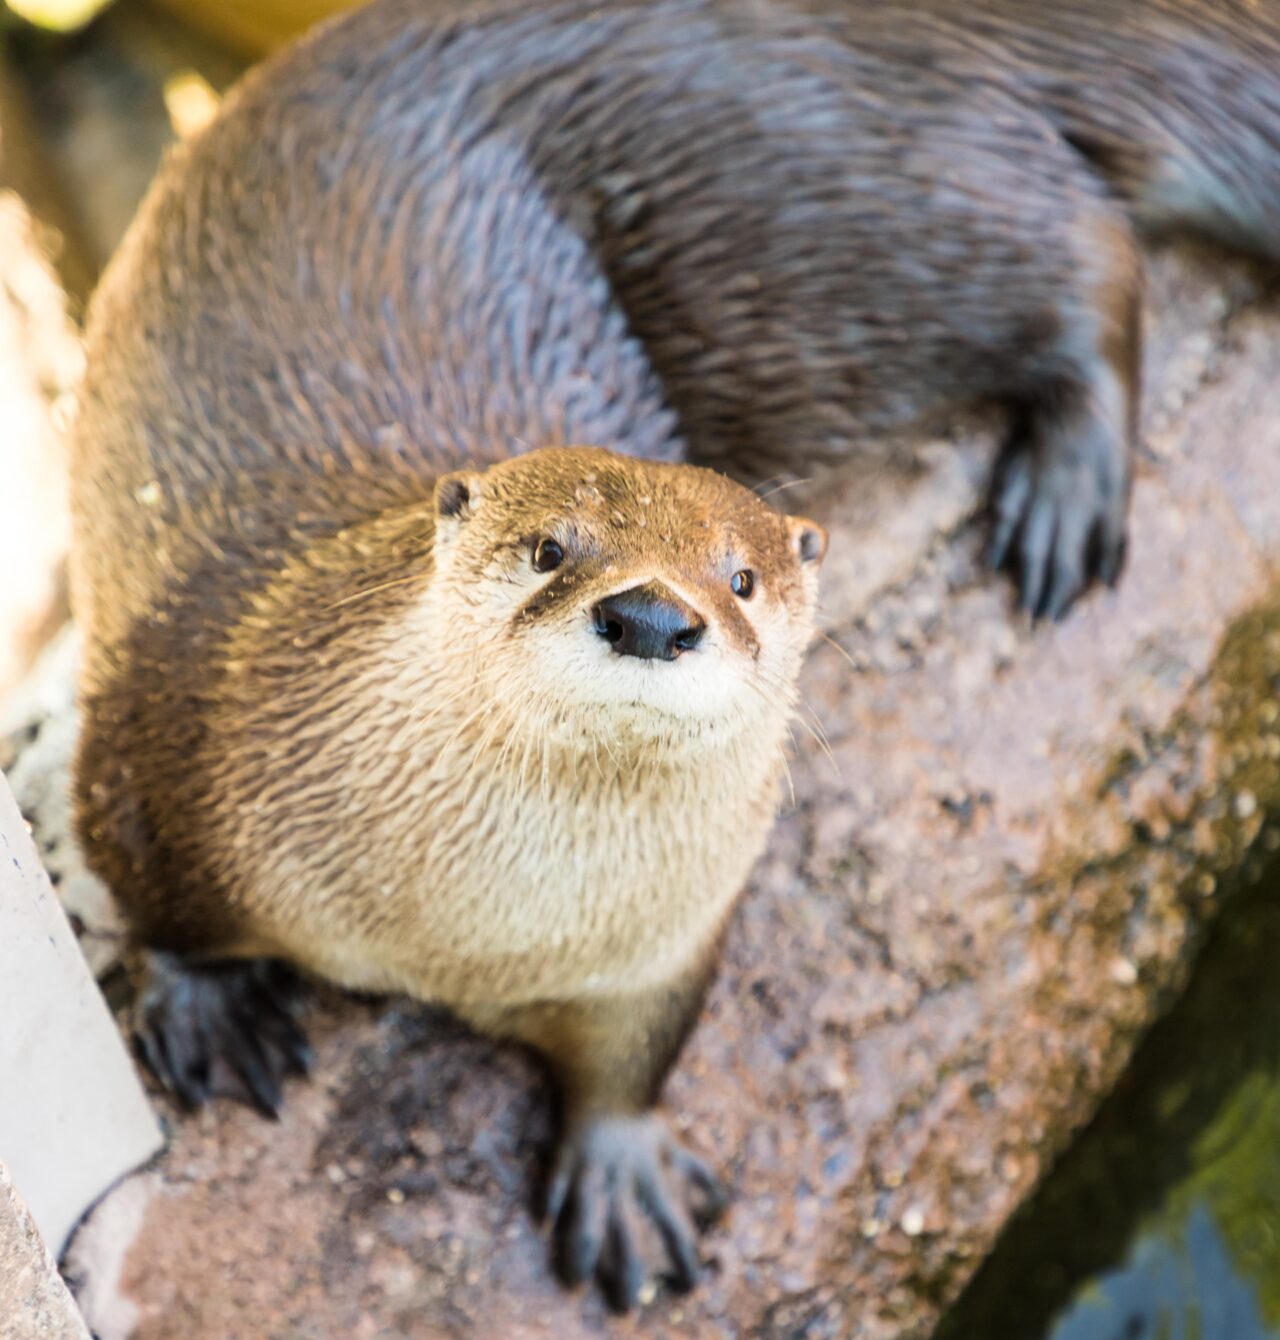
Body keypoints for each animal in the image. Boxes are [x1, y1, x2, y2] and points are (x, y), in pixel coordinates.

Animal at [70, 0, 1280, 1309]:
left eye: (738, 576)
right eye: (549, 547)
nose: (652, 614)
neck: (474, 934)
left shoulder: (669, 939)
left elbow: (642, 1048)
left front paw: (624, 1172)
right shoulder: (169, 731)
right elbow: (142, 884)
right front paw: (207, 1008)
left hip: (841, 217)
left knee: (1082, 251)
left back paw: (1069, 486)